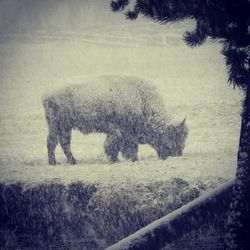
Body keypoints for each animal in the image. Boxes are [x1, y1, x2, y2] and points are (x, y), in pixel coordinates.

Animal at [43, 75, 188, 165]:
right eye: (173, 137)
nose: (177, 155)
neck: (142, 100)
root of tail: (47, 94)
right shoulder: (121, 132)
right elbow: (120, 146)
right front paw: (122, 159)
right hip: (59, 125)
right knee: (59, 142)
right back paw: (64, 162)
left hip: (61, 127)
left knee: (58, 142)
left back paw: (63, 162)